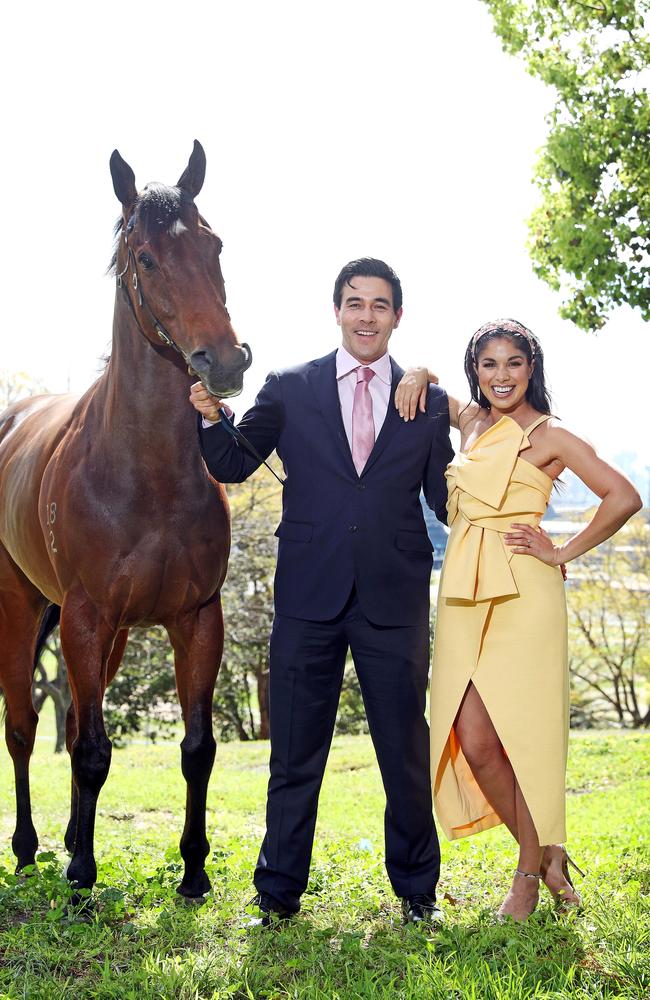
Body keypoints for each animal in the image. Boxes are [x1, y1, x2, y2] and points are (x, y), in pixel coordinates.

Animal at [0, 141, 249, 900]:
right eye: (145, 257)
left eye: (214, 244)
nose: (225, 362)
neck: (148, 473)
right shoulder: (85, 616)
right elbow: (86, 751)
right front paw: (81, 875)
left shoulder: (196, 619)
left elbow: (196, 748)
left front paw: (193, 871)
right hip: (24, 608)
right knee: (25, 726)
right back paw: (30, 850)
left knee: (81, 714)